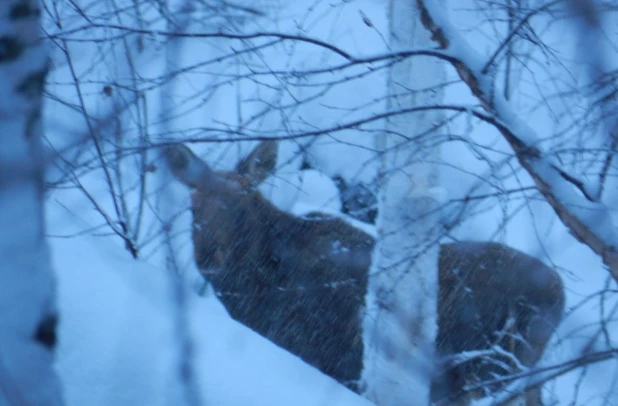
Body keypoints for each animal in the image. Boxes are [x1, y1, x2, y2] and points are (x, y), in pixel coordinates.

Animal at [162, 140, 564, 406]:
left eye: (241, 202)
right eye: (194, 205)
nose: (211, 257)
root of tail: (559, 296)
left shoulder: (320, 356)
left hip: (483, 374)